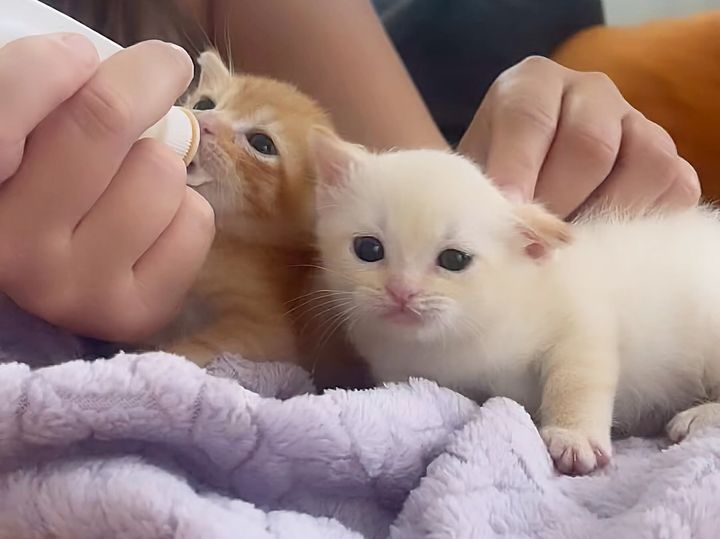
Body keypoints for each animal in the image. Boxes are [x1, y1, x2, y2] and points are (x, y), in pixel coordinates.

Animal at [150, 50, 360, 382]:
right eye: (205, 104)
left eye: (262, 144)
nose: (204, 121)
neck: (222, 240)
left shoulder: (269, 334)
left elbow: (202, 348)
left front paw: (159, 361)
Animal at [310, 130, 720, 476]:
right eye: (368, 249)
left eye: (454, 260)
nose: (401, 290)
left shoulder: (583, 320)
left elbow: (576, 380)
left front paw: (575, 437)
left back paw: (696, 417)